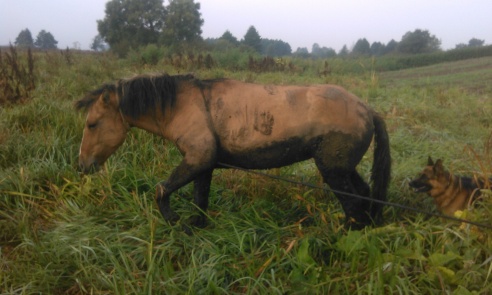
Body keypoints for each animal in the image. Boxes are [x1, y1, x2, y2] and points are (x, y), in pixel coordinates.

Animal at [76, 73, 392, 230]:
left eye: (92, 124)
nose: (82, 165)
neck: (184, 104)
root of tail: (367, 109)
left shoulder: (198, 158)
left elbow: (161, 190)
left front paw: (175, 222)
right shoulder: (204, 164)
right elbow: (200, 199)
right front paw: (196, 228)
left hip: (333, 170)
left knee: (353, 203)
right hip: (343, 167)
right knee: (365, 195)